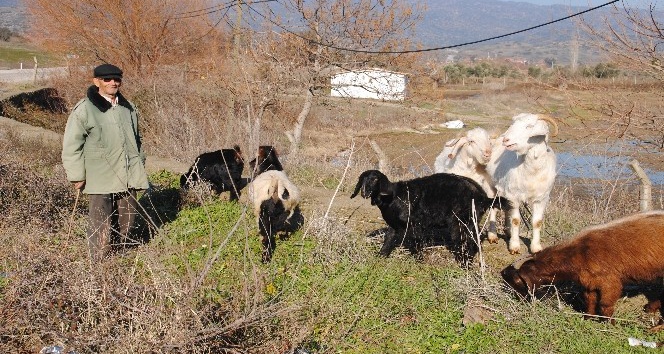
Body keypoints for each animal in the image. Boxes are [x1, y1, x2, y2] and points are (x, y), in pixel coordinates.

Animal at [350, 169, 510, 266]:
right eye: (362, 179)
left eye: (375, 179)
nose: (364, 192)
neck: (394, 197)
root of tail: (483, 197)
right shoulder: (393, 226)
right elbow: (388, 240)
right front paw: (380, 256)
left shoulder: (415, 224)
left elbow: (416, 242)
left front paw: (419, 260)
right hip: (470, 222)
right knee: (474, 241)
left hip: (460, 223)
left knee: (467, 242)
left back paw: (463, 263)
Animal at [486, 113, 556, 254]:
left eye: (529, 126)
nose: (506, 139)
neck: (532, 171)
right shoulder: (514, 196)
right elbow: (516, 220)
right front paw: (514, 246)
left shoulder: (541, 198)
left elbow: (537, 222)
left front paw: (536, 247)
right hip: (491, 187)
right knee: (493, 208)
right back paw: (492, 235)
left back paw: (508, 232)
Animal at [500, 212, 664, 324]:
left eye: (518, 282)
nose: (520, 301)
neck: (581, 252)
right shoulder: (588, 282)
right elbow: (589, 300)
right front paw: (587, 318)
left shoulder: (610, 281)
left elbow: (605, 304)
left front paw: (609, 324)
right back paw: (649, 308)